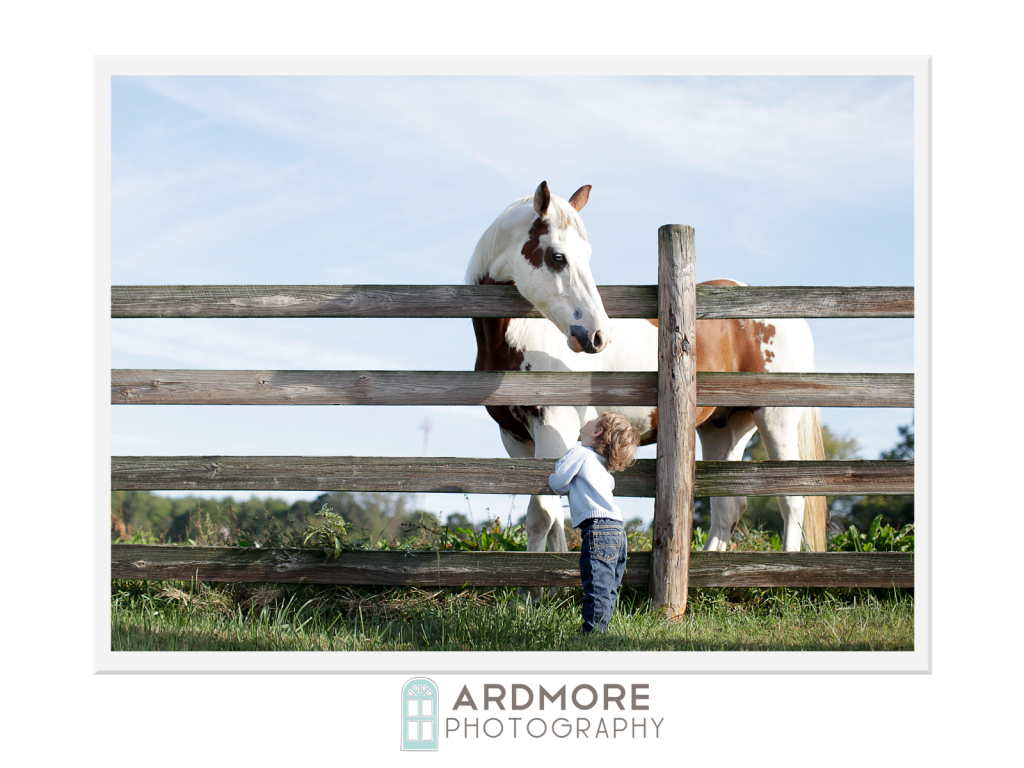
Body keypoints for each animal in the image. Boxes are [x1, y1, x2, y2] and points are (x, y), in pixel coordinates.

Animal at [468, 180, 827, 565]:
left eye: (585, 255)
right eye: (558, 257)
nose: (598, 335)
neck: (519, 337)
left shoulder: (553, 430)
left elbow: (541, 516)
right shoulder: (517, 439)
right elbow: (553, 524)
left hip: (775, 420)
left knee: (791, 499)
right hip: (725, 429)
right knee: (728, 506)